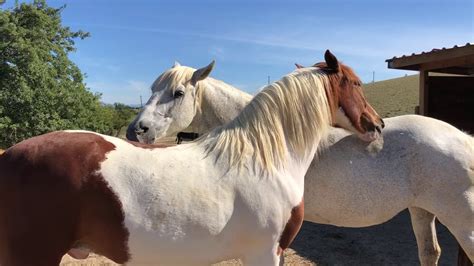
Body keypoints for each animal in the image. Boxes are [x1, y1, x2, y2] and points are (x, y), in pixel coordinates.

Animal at [127, 61, 474, 264]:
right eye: (152, 89)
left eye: (177, 92)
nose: (135, 130)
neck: (264, 138)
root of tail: (463, 139)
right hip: (422, 211)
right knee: (430, 252)